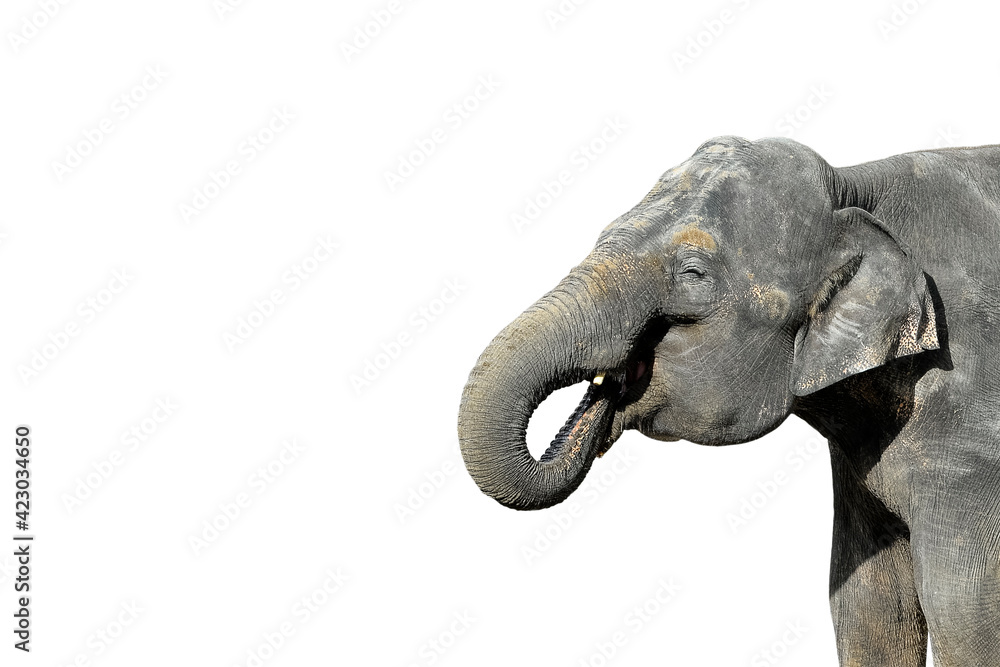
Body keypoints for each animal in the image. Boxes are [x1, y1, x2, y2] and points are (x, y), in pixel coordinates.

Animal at [457, 136, 1000, 666]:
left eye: (694, 273)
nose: (603, 393)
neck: (854, 186)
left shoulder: (968, 439)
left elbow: (962, 613)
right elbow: (868, 602)